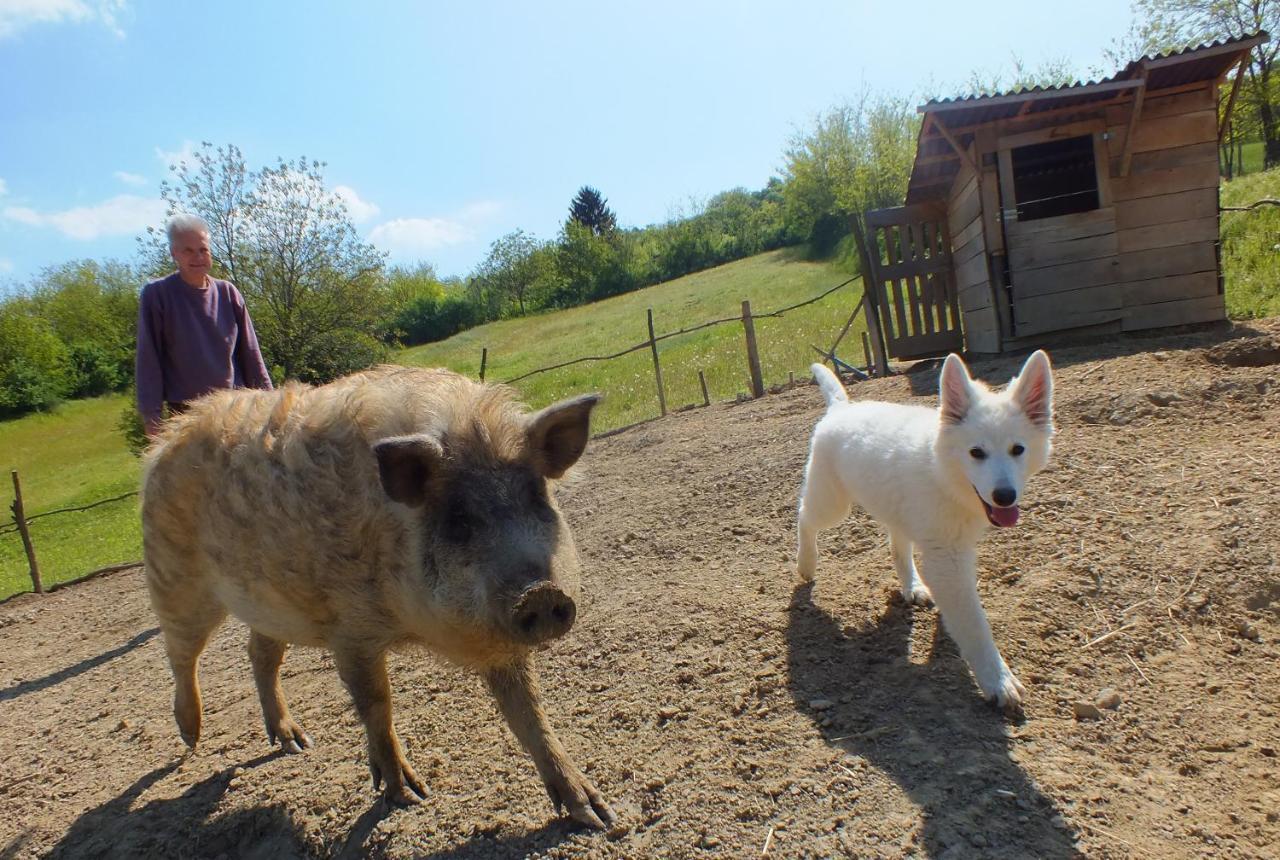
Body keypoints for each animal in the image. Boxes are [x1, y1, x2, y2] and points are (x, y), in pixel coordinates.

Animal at [140, 366, 614, 829]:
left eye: (538, 499)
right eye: (460, 520)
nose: (540, 593)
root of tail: (166, 439)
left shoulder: (497, 638)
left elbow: (529, 714)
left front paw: (597, 815)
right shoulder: (350, 629)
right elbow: (376, 704)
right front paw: (410, 795)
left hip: (271, 604)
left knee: (259, 653)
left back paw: (297, 743)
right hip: (176, 580)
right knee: (180, 654)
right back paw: (191, 737)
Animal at [793, 348, 1054, 711]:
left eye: (1018, 449)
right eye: (976, 453)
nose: (1005, 496)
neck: (943, 472)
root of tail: (841, 408)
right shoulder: (947, 557)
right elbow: (975, 625)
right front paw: (997, 680)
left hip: (894, 508)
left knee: (897, 545)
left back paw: (912, 586)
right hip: (832, 503)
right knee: (804, 516)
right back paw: (806, 563)